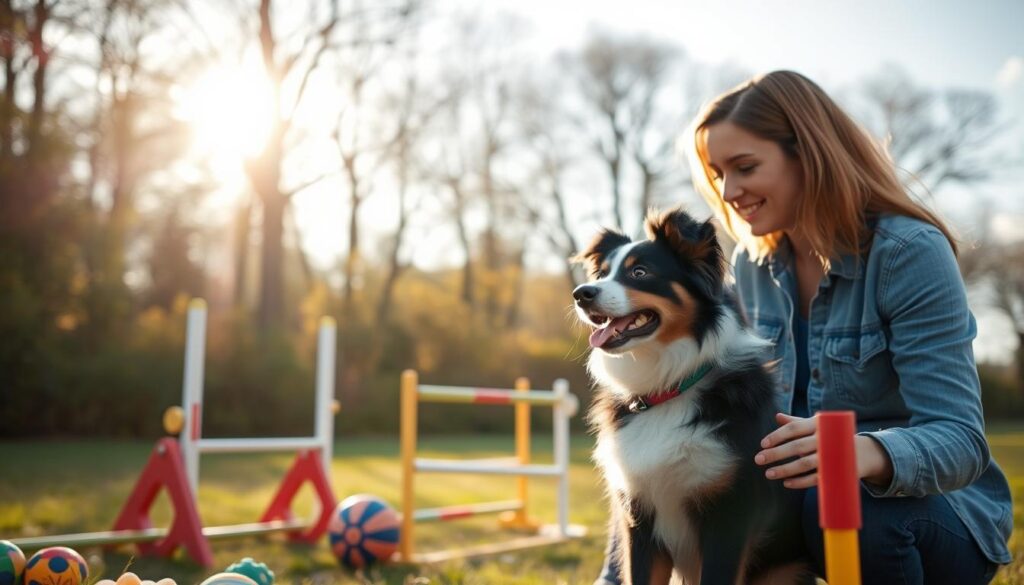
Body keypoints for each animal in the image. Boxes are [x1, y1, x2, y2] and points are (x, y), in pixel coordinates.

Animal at [573, 207, 811, 581]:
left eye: (640, 272)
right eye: (602, 273)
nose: (581, 293)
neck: (668, 389)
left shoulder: (729, 518)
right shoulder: (639, 518)